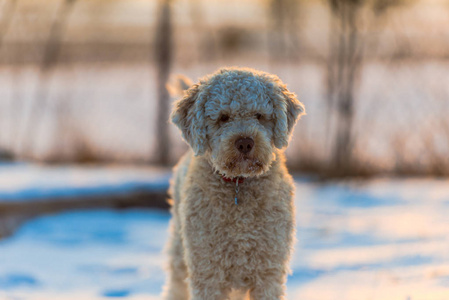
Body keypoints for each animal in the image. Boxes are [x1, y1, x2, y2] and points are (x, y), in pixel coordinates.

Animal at [161, 67, 304, 300]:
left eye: (259, 115)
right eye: (223, 117)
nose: (245, 142)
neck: (239, 184)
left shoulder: (269, 270)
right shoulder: (208, 271)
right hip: (180, 252)